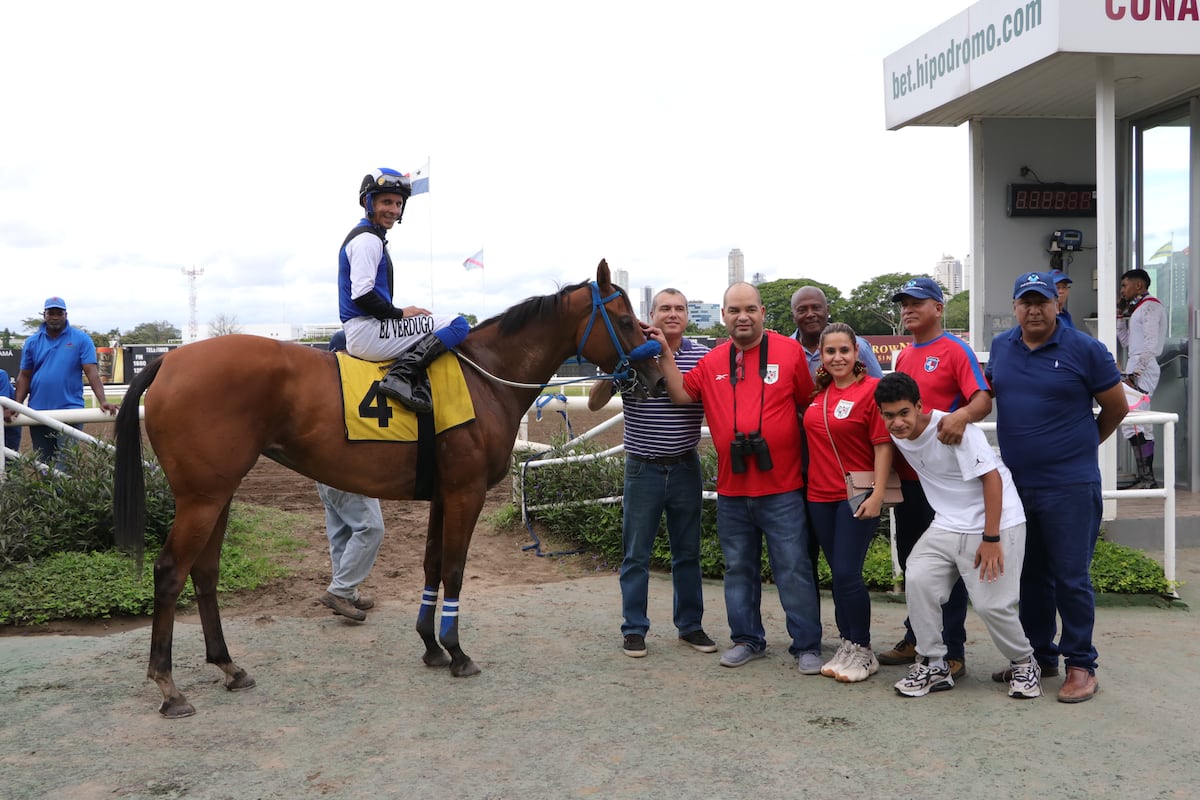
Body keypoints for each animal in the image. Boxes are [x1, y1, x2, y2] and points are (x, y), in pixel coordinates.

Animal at [112, 257, 667, 719]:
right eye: (624, 320)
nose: (657, 375)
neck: (487, 379)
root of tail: (170, 360)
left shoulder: (443, 494)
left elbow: (431, 565)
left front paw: (431, 646)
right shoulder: (466, 493)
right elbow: (455, 569)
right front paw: (457, 652)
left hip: (219, 494)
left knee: (204, 572)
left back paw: (229, 667)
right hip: (202, 498)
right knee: (170, 572)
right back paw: (169, 688)